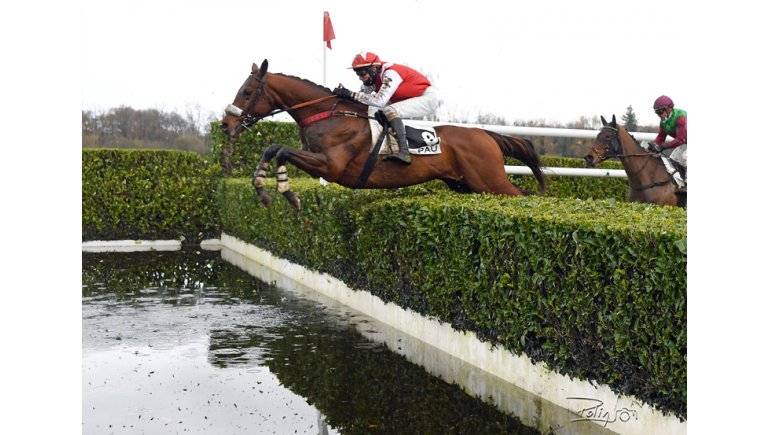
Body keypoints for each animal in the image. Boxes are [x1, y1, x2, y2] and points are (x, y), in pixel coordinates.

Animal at [219, 60, 545, 209]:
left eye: (246, 91)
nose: (225, 123)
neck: (329, 114)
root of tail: (486, 135)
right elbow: (273, 148)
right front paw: (263, 189)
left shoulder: (330, 166)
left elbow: (282, 150)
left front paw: (288, 193)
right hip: (465, 185)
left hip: (491, 183)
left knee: (522, 196)